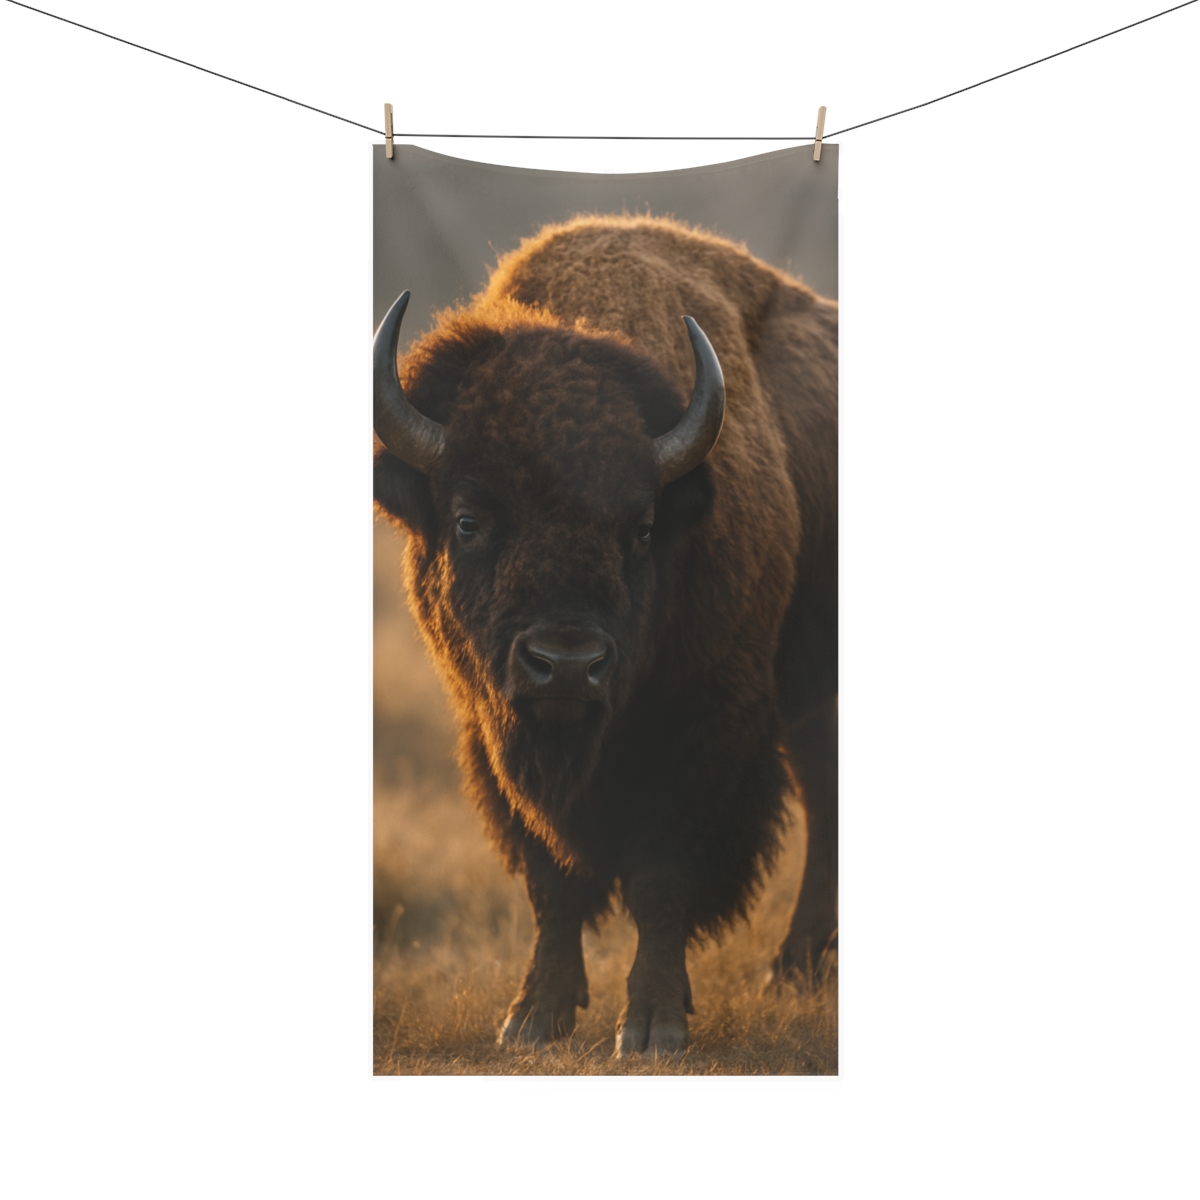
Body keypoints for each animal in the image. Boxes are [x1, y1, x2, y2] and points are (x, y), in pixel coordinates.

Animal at [374, 215, 837, 1056]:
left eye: (642, 528)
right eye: (469, 519)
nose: (565, 665)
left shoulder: (705, 736)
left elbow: (661, 880)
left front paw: (652, 1027)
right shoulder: (495, 736)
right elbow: (551, 883)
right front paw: (532, 1019)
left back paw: (791, 969)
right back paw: (795, 970)